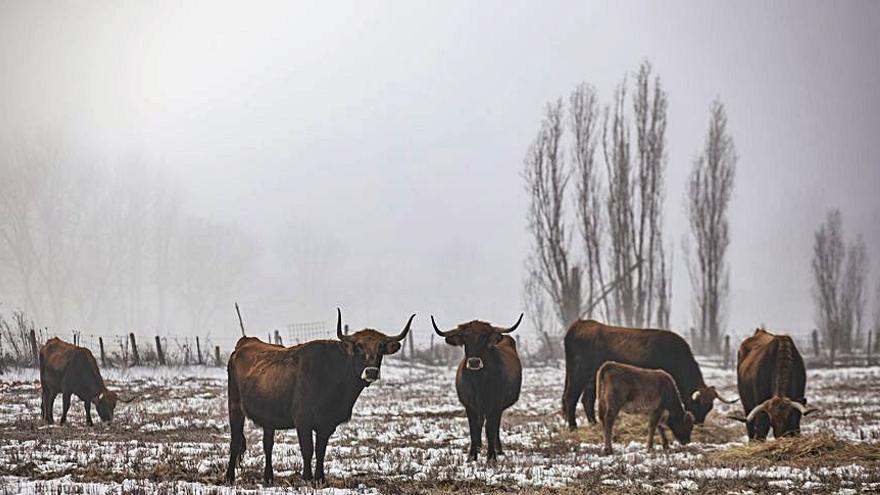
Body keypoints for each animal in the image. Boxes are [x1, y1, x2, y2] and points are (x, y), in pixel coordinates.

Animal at [225, 310, 414, 484]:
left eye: (381, 347)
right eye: (359, 347)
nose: (372, 372)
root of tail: (245, 342)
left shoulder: (327, 424)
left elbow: (321, 451)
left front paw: (320, 479)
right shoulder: (303, 420)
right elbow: (308, 449)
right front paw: (307, 478)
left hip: (268, 417)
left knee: (268, 445)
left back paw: (268, 478)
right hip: (234, 407)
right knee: (235, 441)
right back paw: (229, 477)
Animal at [434, 316, 524, 464]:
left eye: (484, 338)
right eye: (465, 338)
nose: (474, 362)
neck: (479, 382)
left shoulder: (495, 405)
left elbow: (490, 429)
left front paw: (491, 457)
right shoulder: (470, 406)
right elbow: (473, 429)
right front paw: (472, 456)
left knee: (494, 426)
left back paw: (498, 449)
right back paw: (479, 447)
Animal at [564, 320, 736, 428]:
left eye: (710, 407)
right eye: (697, 405)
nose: (699, 424)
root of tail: (579, 324)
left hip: (591, 379)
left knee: (587, 400)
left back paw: (593, 424)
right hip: (578, 374)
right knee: (570, 398)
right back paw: (573, 427)